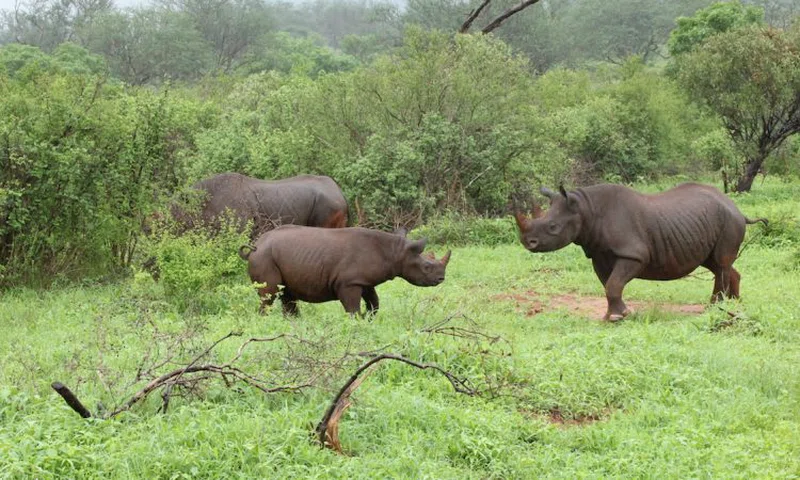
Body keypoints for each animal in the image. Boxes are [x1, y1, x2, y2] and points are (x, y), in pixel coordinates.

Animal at [238, 225, 451, 316]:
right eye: (426, 267)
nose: (441, 279)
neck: (395, 252)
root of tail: (255, 246)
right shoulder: (348, 283)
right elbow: (352, 308)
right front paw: (357, 321)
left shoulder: (363, 281)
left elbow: (374, 302)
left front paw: (368, 318)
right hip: (263, 257)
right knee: (269, 295)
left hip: (273, 256)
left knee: (287, 295)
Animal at [514, 183, 767, 321]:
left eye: (553, 227)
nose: (528, 243)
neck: (586, 209)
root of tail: (737, 208)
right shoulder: (599, 253)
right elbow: (609, 284)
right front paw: (616, 314)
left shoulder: (633, 254)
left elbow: (613, 283)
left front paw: (617, 317)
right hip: (706, 222)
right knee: (716, 263)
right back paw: (734, 305)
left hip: (729, 220)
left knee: (720, 263)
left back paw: (714, 308)